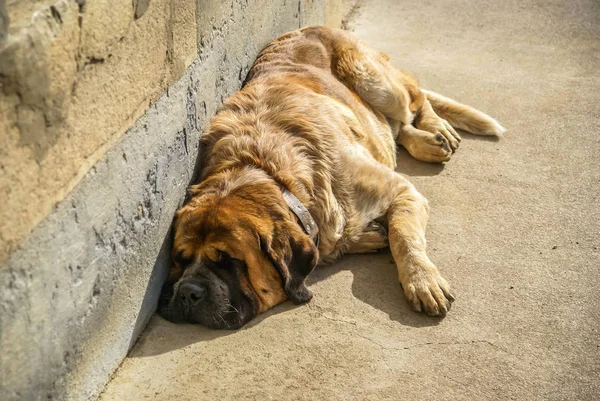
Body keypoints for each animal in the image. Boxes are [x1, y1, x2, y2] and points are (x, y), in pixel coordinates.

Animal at [157, 27, 504, 328]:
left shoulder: (401, 190)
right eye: (179, 259)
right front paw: (367, 237)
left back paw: (435, 129)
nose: (187, 292)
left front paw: (422, 280)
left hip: (376, 82)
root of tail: (311, 26)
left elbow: (404, 236)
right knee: (395, 127)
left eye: (228, 260)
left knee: (414, 102)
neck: (271, 171)